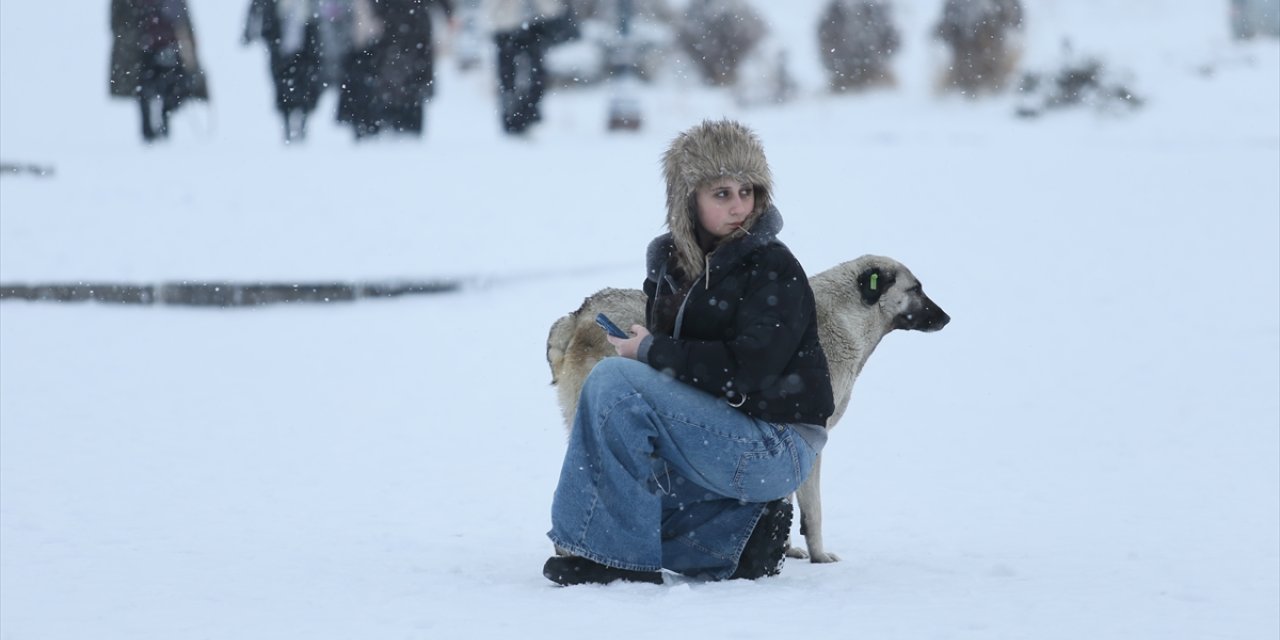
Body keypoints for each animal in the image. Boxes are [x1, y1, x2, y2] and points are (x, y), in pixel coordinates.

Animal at [547, 254, 952, 565]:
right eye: (916, 289)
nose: (946, 318)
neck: (847, 318)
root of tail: (579, 315)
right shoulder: (809, 443)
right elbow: (812, 509)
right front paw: (816, 556)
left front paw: (786, 548)